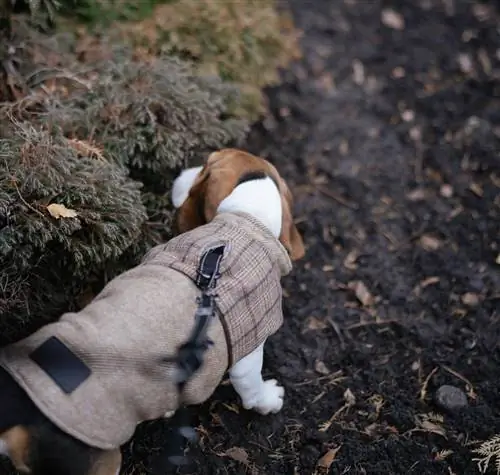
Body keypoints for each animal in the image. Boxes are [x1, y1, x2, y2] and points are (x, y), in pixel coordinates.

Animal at [0, 150, 304, 475]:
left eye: (206, 164)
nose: (182, 171)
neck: (245, 216)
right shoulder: (248, 350)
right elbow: (251, 386)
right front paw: (268, 400)